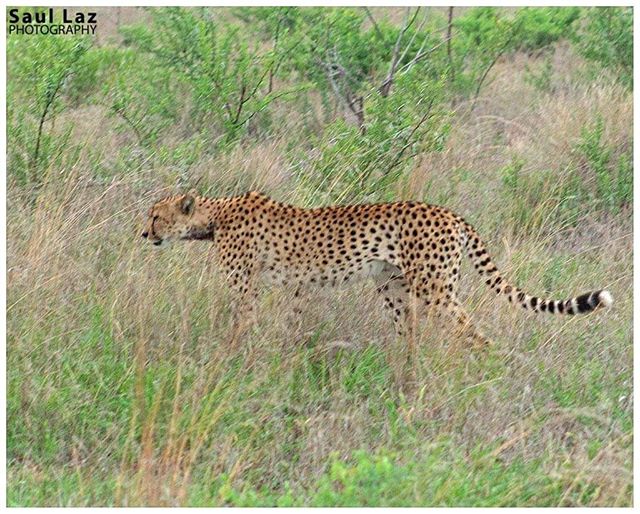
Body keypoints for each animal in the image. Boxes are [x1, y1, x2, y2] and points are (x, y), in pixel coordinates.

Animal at [142, 191, 612, 357]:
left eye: (155, 215)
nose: (144, 232)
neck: (214, 214)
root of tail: (451, 212)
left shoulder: (245, 287)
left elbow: (239, 323)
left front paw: (227, 361)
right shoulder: (295, 287)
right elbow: (291, 323)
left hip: (434, 288)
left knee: (471, 330)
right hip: (392, 285)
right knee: (411, 333)